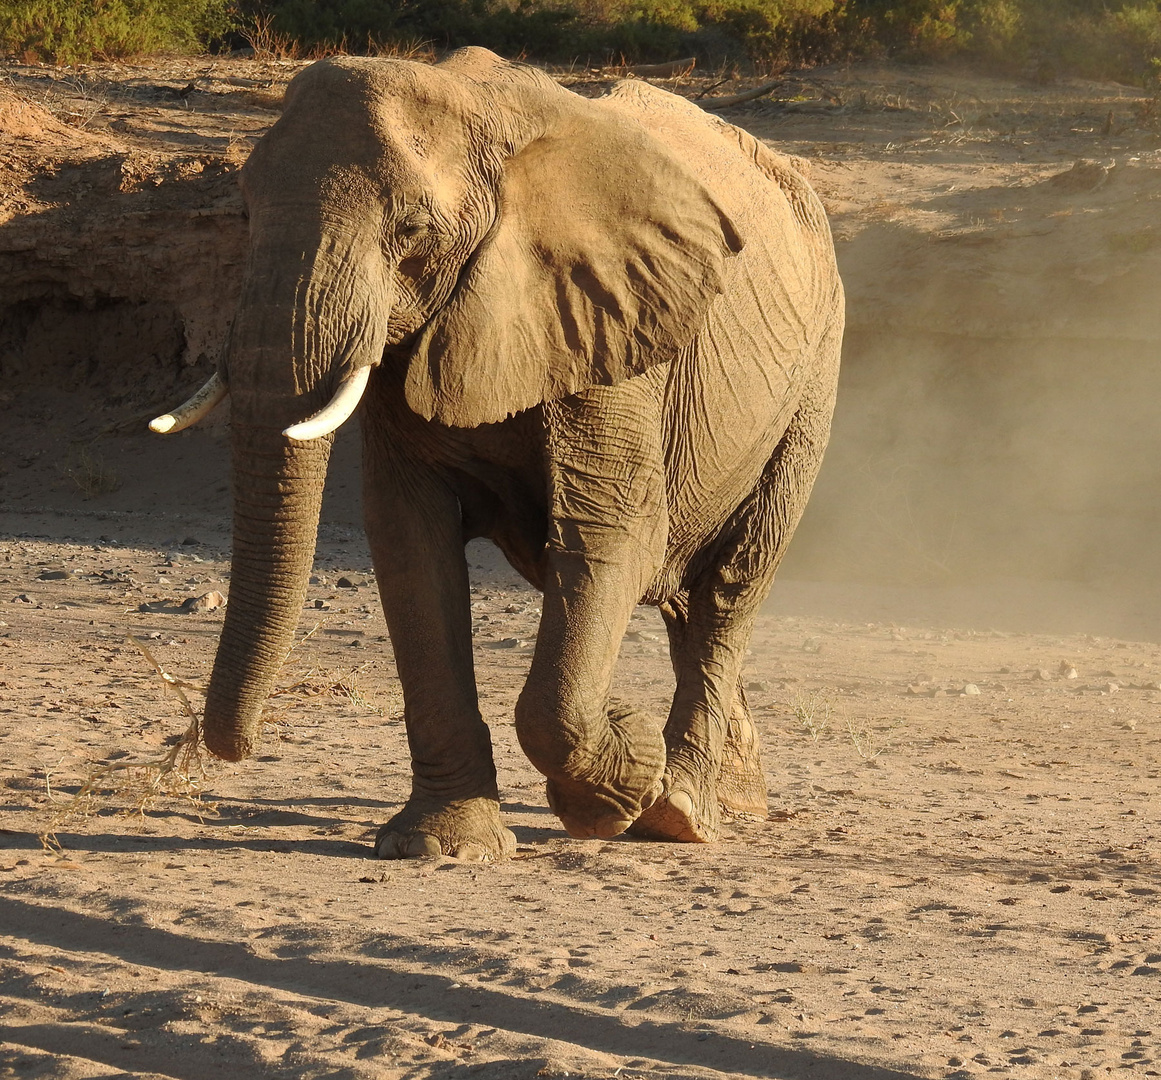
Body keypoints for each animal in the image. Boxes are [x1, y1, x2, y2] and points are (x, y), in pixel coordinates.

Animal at [152, 48, 845, 859]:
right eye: (243, 213)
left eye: (413, 228)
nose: (222, 748)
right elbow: (409, 539)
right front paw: (440, 846)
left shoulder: (608, 318)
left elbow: (612, 535)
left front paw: (616, 783)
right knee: (681, 597)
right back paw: (730, 797)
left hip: (812, 374)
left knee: (729, 587)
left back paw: (678, 810)